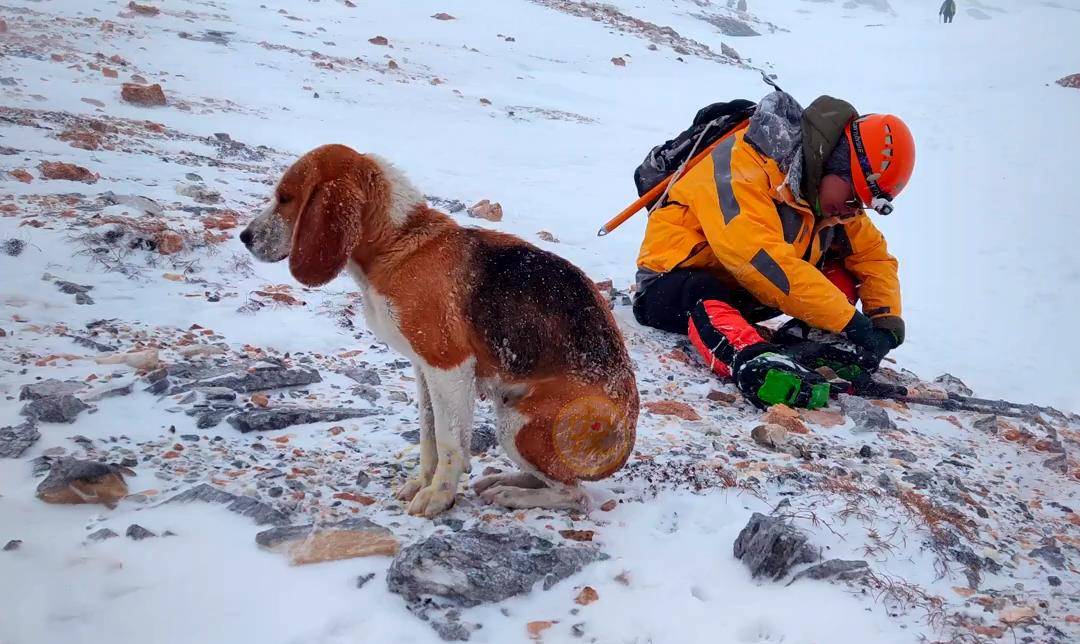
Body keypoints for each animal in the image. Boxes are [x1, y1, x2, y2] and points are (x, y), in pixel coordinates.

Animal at [240, 143, 635, 516]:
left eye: (286, 197)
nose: (244, 236)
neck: (399, 243)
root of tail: (626, 435)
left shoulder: (449, 367)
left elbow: (449, 443)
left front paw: (440, 496)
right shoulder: (424, 369)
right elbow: (429, 437)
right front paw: (423, 483)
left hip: (516, 425)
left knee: (575, 494)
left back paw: (514, 494)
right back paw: (504, 481)